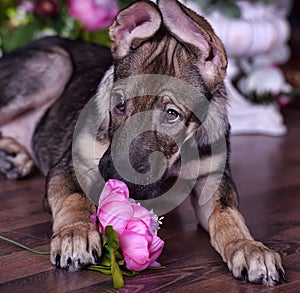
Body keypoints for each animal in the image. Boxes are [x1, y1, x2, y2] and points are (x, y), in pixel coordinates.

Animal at [0, 0, 286, 284]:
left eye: (172, 114)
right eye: (119, 103)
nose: (112, 176)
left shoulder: (213, 178)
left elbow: (228, 215)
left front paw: (250, 248)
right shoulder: (70, 163)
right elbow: (74, 196)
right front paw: (75, 233)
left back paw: (14, 156)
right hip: (56, 65)